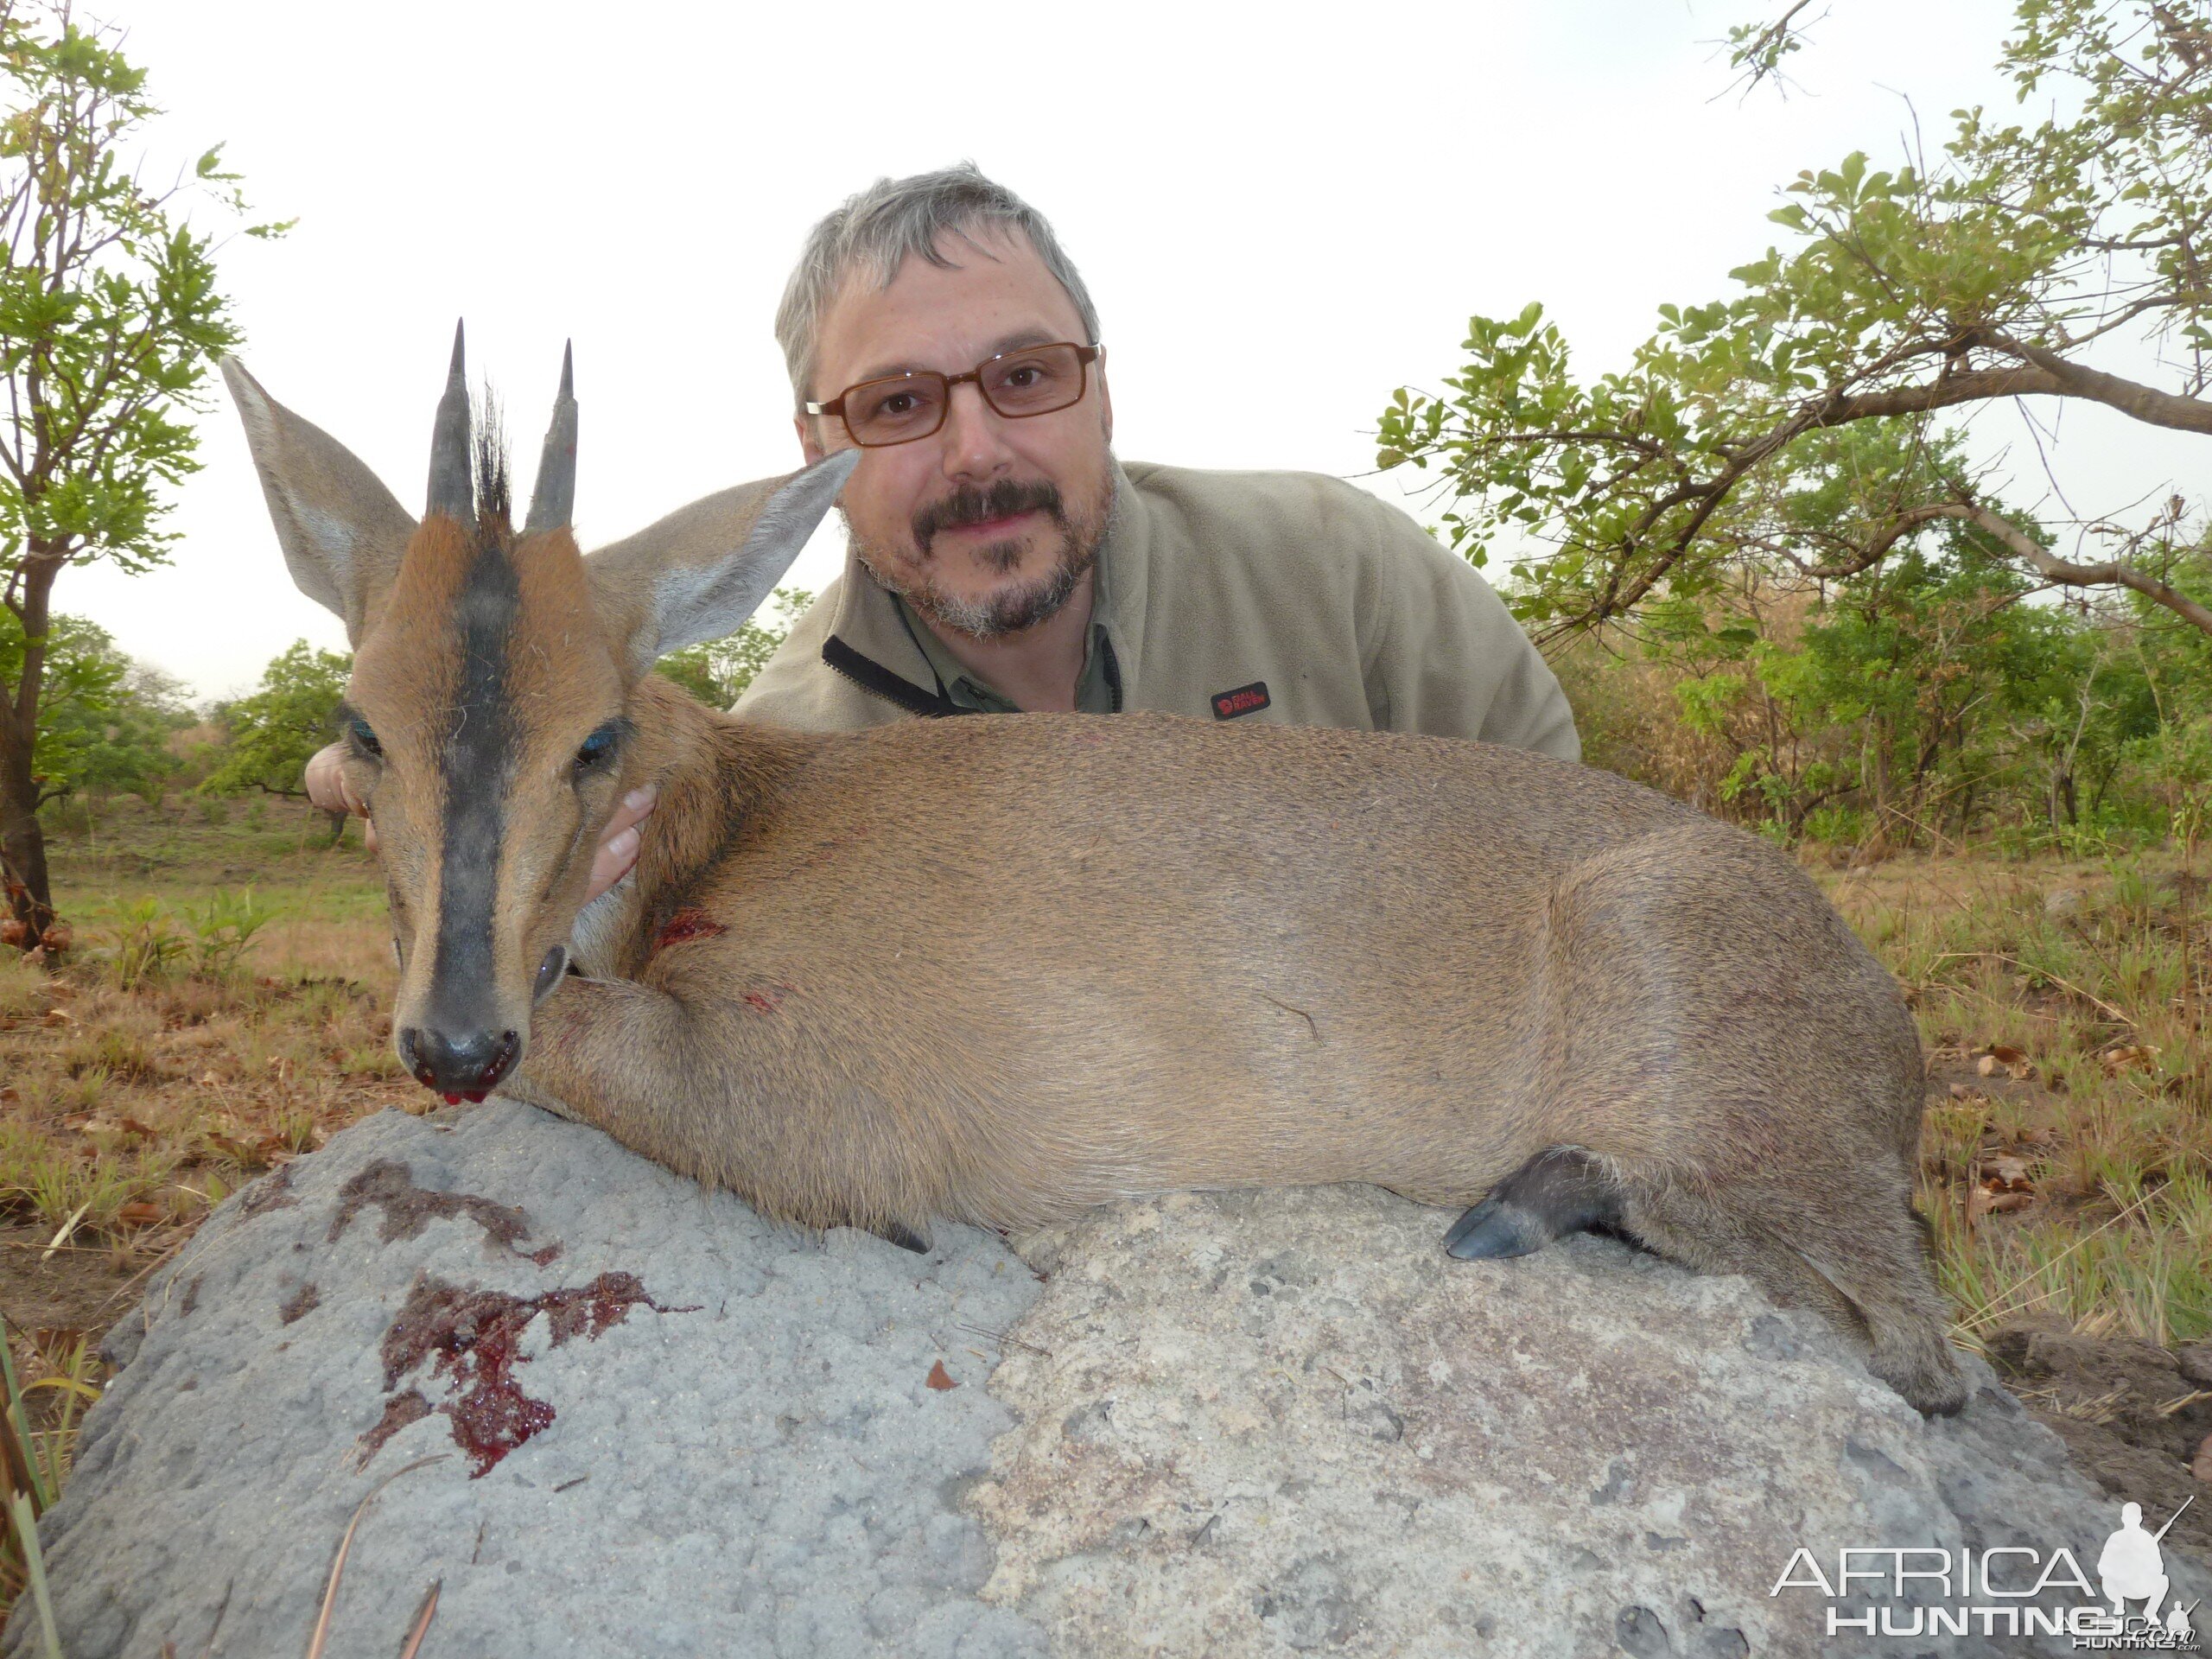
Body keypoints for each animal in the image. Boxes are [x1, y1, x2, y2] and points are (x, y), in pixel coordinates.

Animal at [219, 334, 1973, 1415]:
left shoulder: (837, 1102)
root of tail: (1891, 1041)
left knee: (1915, 1342)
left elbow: (600, 1047)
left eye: (596, 735)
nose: (453, 1037)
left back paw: (1519, 1205)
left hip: (1699, 1000)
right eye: (356, 726)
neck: (736, 817)